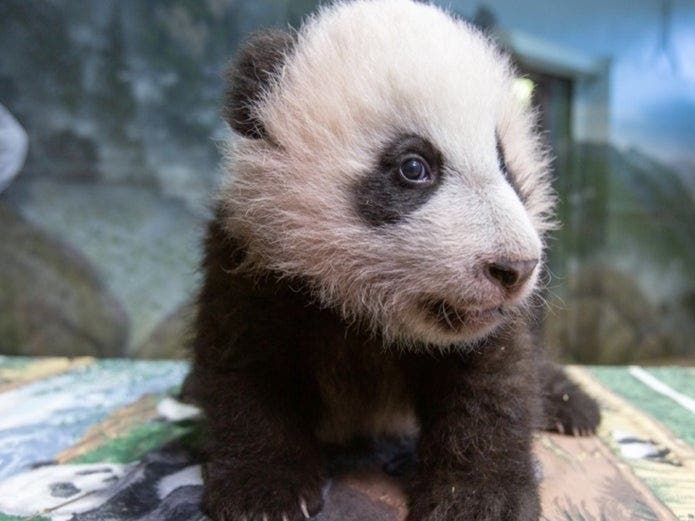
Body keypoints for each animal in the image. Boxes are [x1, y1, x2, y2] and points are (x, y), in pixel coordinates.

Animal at [185, 0, 601, 519]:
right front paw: (263, 490)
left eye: (507, 166)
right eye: (414, 167)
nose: (515, 268)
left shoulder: (481, 331)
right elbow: (247, 369)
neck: (365, 311)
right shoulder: (252, 260)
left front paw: (480, 497)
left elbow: (494, 382)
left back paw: (572, 405)